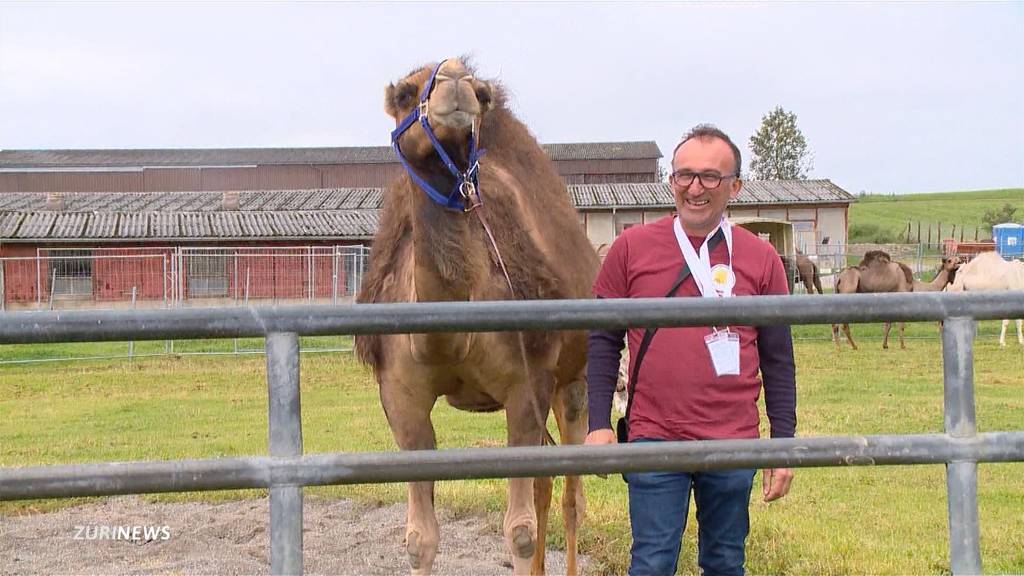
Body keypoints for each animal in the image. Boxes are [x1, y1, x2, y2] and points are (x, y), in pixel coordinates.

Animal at [352, 59, 598, 573]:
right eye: (405, 94)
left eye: (481, 95)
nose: (455, 81)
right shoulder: (400, 397)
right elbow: (418, 538)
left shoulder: (527, 383)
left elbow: (519, 532)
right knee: (546, 486)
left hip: (574, 378)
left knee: (570, 495)